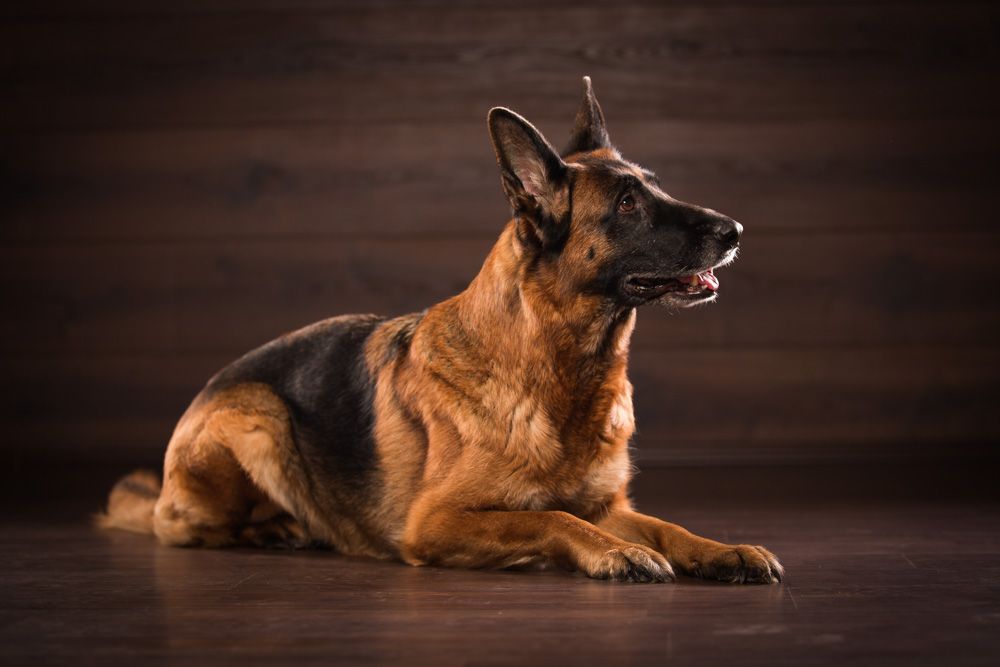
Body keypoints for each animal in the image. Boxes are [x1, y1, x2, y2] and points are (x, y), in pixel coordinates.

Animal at [101, 78, 780, 584]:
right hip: (257, 414)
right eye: (628, 205)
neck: (556, 367)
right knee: (182, 526)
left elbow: (666, 526)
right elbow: (552, 520)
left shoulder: (610, 506)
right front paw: (614, 552)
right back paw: (280, 528)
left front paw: (723, 550)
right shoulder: (437, 523)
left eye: (658, 187)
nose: (737, 231)